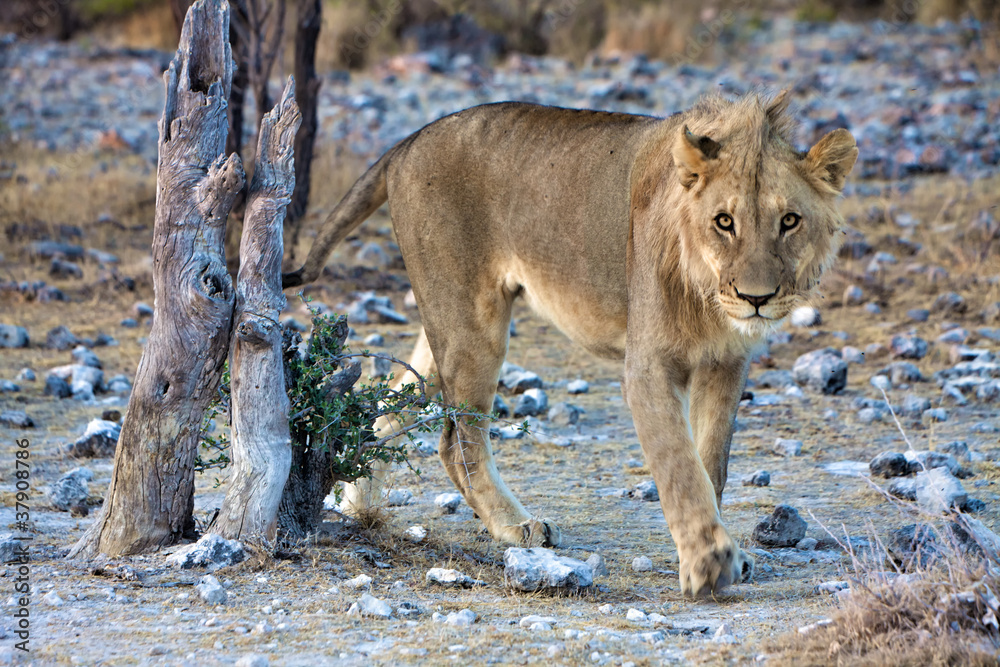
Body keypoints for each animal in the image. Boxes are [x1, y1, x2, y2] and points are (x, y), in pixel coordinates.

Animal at [283, 91, 858, 596]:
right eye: (724, 222)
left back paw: (358, 503)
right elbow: (679, 466)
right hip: (472, 320)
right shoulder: (647, 365)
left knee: (391, 401)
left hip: (448, 318)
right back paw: (517, 527)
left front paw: (723, 552)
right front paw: (709, 564)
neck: (707, 293)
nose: (756, 299)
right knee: (457, 439)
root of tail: (409, 140)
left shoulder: (727, 362)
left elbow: (710, 462)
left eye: (789, 221)